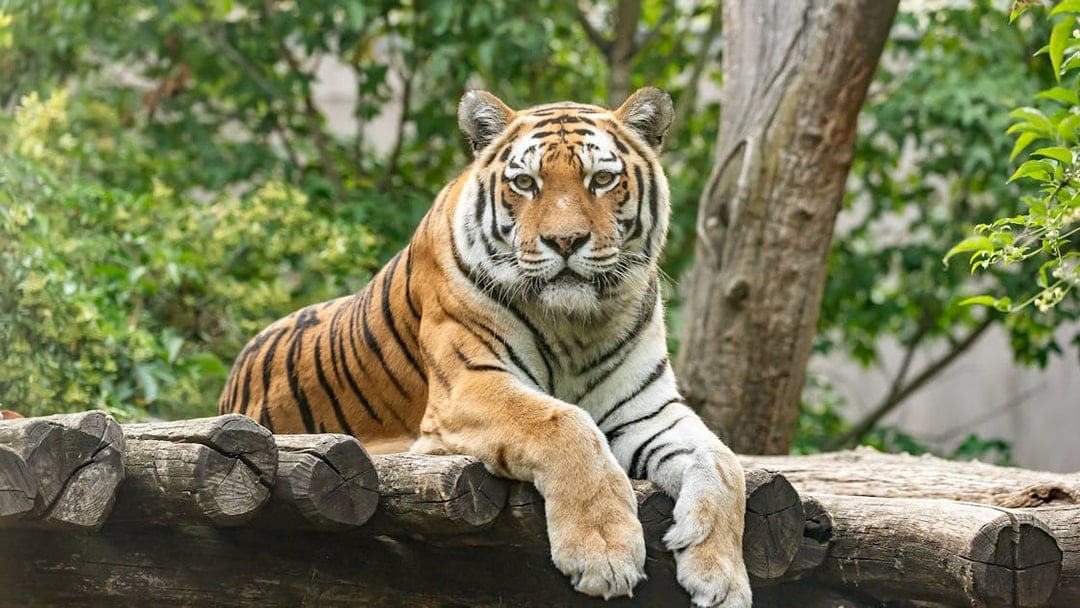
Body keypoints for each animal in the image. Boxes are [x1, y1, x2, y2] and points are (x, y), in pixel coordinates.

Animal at [219, 87, 751, 607]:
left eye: (601, 179)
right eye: (525, 183)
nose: (566, 241)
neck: (576, 326)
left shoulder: (648, 410)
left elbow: (724, 464)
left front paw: (721, 575)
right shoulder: (469, 385)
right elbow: (565, 423)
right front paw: (605, 552)